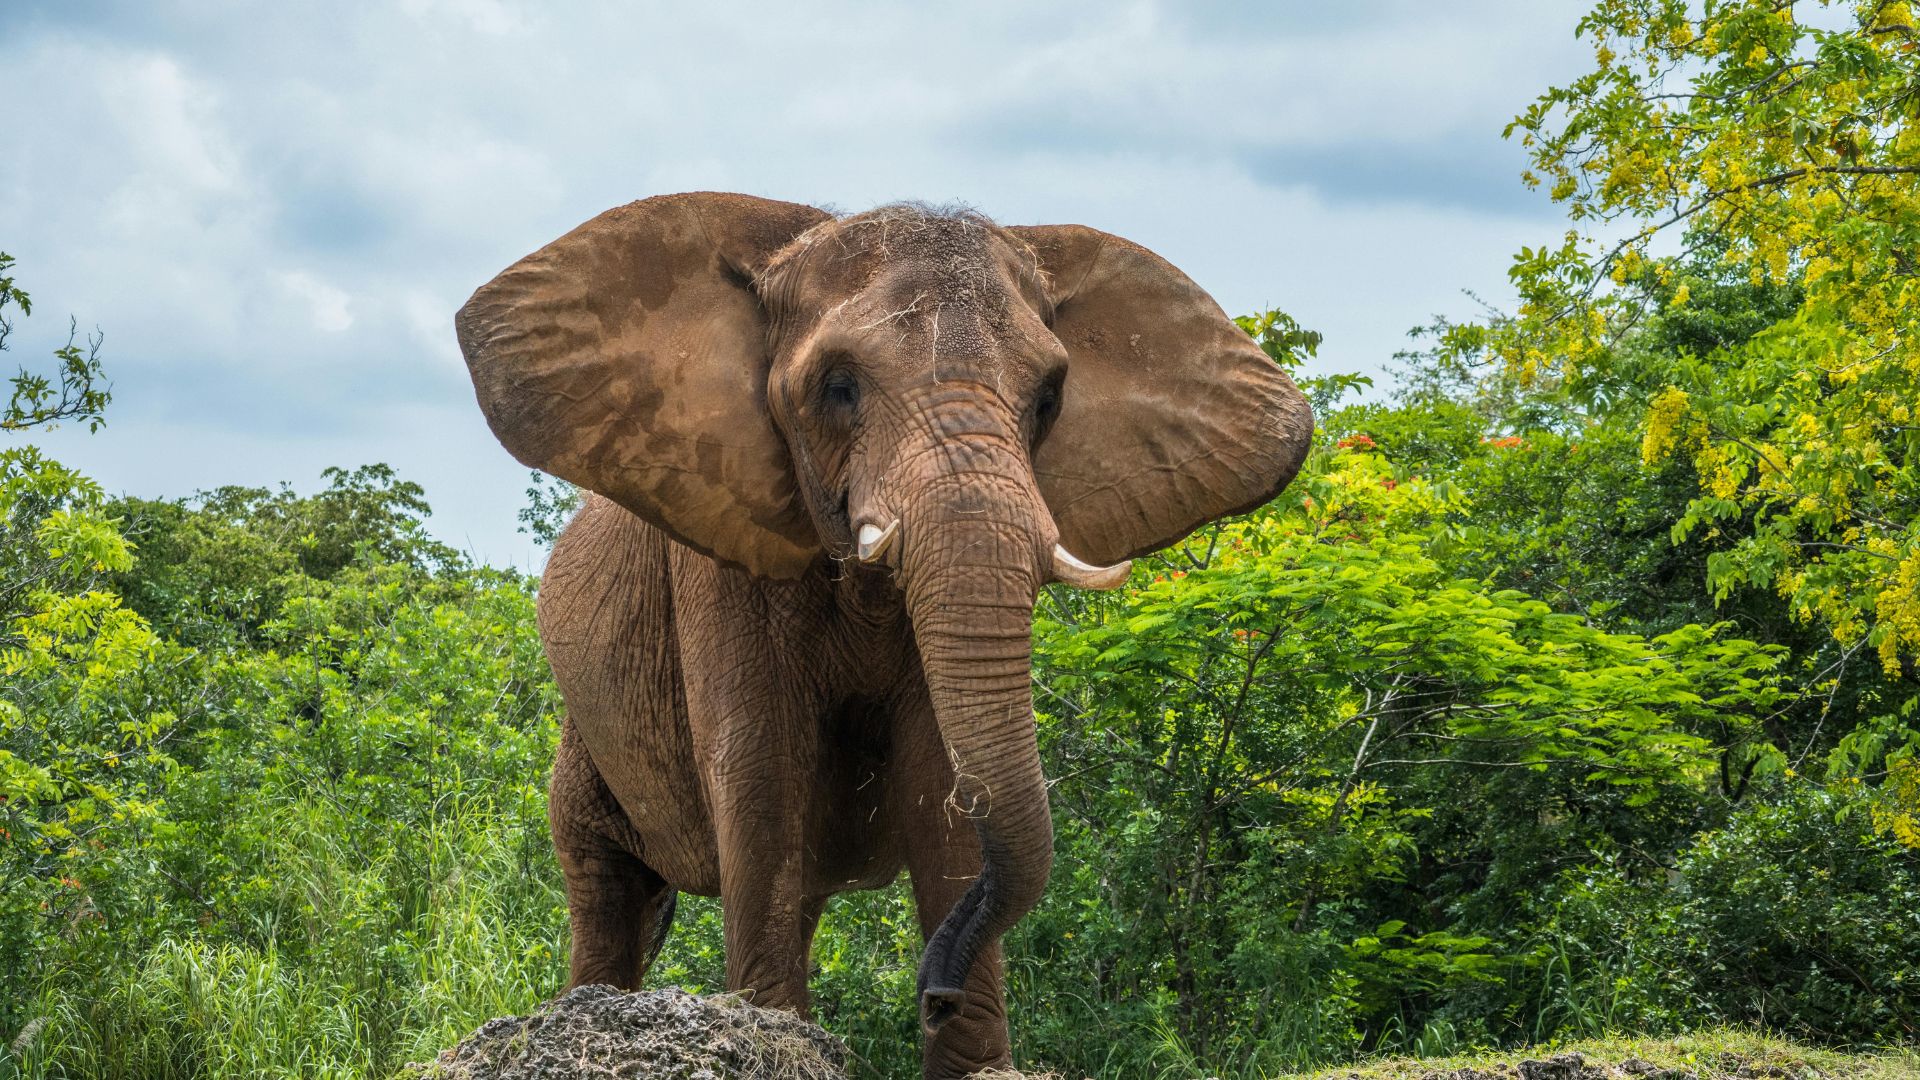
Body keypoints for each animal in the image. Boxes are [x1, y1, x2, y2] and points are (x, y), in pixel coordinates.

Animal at [455, 192, 1313, 1079]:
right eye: (838, 388)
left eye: (1048, 398)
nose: (935, 992)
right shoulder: (723, 561)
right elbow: (760, 770)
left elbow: (943, 779)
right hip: (584, 729)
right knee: (605, 880)